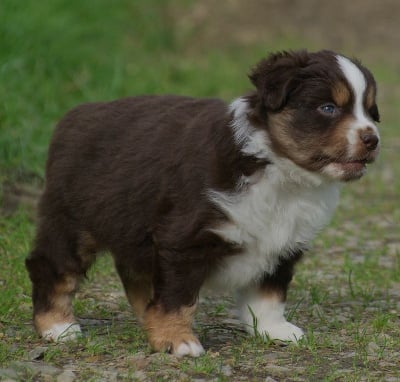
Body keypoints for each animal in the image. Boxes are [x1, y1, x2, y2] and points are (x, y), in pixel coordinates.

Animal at [26, 49, 380, 356]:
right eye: (328, 108)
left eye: (370, 111)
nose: (373, 139)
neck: (279, 170)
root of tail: (74, 115)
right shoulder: (184, 239)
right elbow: (177, 296)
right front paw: (176, 340)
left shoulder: (284, 241)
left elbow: (269, 293)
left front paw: (273, 329)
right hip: (72, 222)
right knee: (50, 266)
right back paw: (57, 326)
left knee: (133, 273)